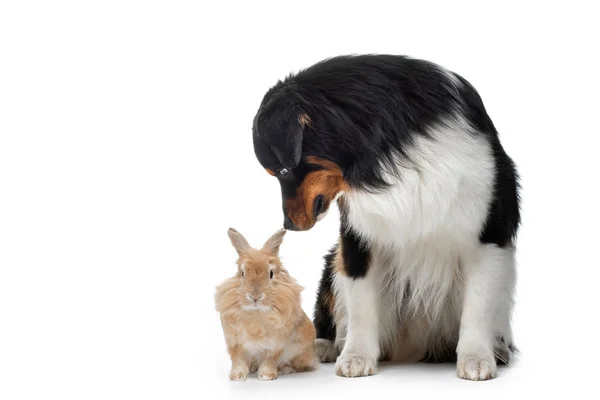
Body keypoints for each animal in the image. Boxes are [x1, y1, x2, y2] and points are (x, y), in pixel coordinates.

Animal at [216, 228, 318, 382]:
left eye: (271, 273)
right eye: (242, 273)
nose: (255, 296)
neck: (256, 311)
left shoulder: (276, 344)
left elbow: (269, 360)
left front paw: (266, 376)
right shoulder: (235, 342)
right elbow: (238, 360)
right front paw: (237, 376)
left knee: (298, 366)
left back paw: (285, 369)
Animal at [251, 54, 516, 380]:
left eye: (285, 170)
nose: (289, 225)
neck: (392, 151)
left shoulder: (488, 233)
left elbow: (477, 306)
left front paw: (477, 359)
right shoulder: (358, 236)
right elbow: (362, 303)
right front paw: (356, 357)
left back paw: (499, 350)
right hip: (332, 263)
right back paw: (324, 346)